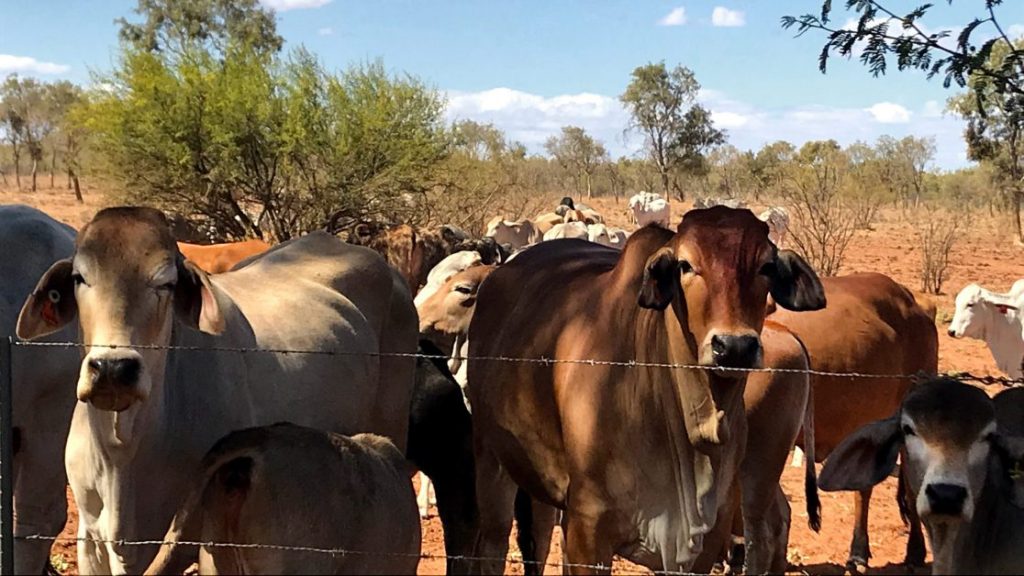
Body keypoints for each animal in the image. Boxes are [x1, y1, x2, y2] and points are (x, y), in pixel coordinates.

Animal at [467, 207, 826, 573]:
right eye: (685, 265)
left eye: (766, 266)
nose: (734, 347)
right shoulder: (588, 526)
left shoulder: (705, 537)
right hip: (493, 456)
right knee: (496, 543)